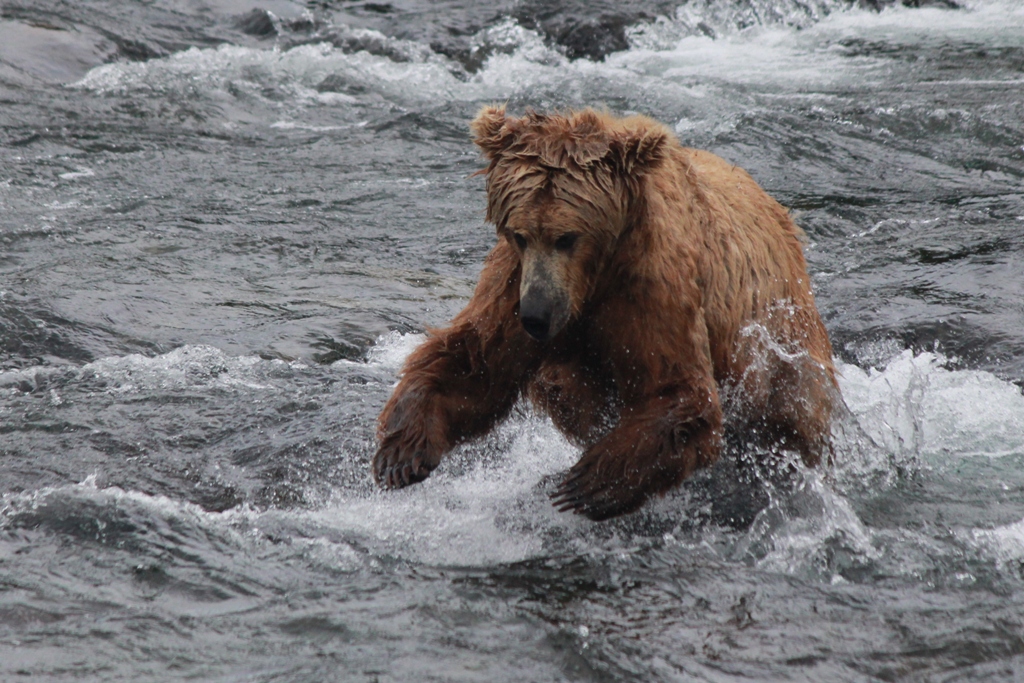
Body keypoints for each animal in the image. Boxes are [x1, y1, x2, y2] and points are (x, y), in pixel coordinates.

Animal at [372, 107, 835, 520]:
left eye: (567, 237)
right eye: (520, 234)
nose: (536, 316)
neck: (592, 283)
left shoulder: (651, 288)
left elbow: (677, 391)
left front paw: (588, 484)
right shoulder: (513, 284)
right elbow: (476, 363)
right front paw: (401, 451)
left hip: (780, 339)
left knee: (795, 414)